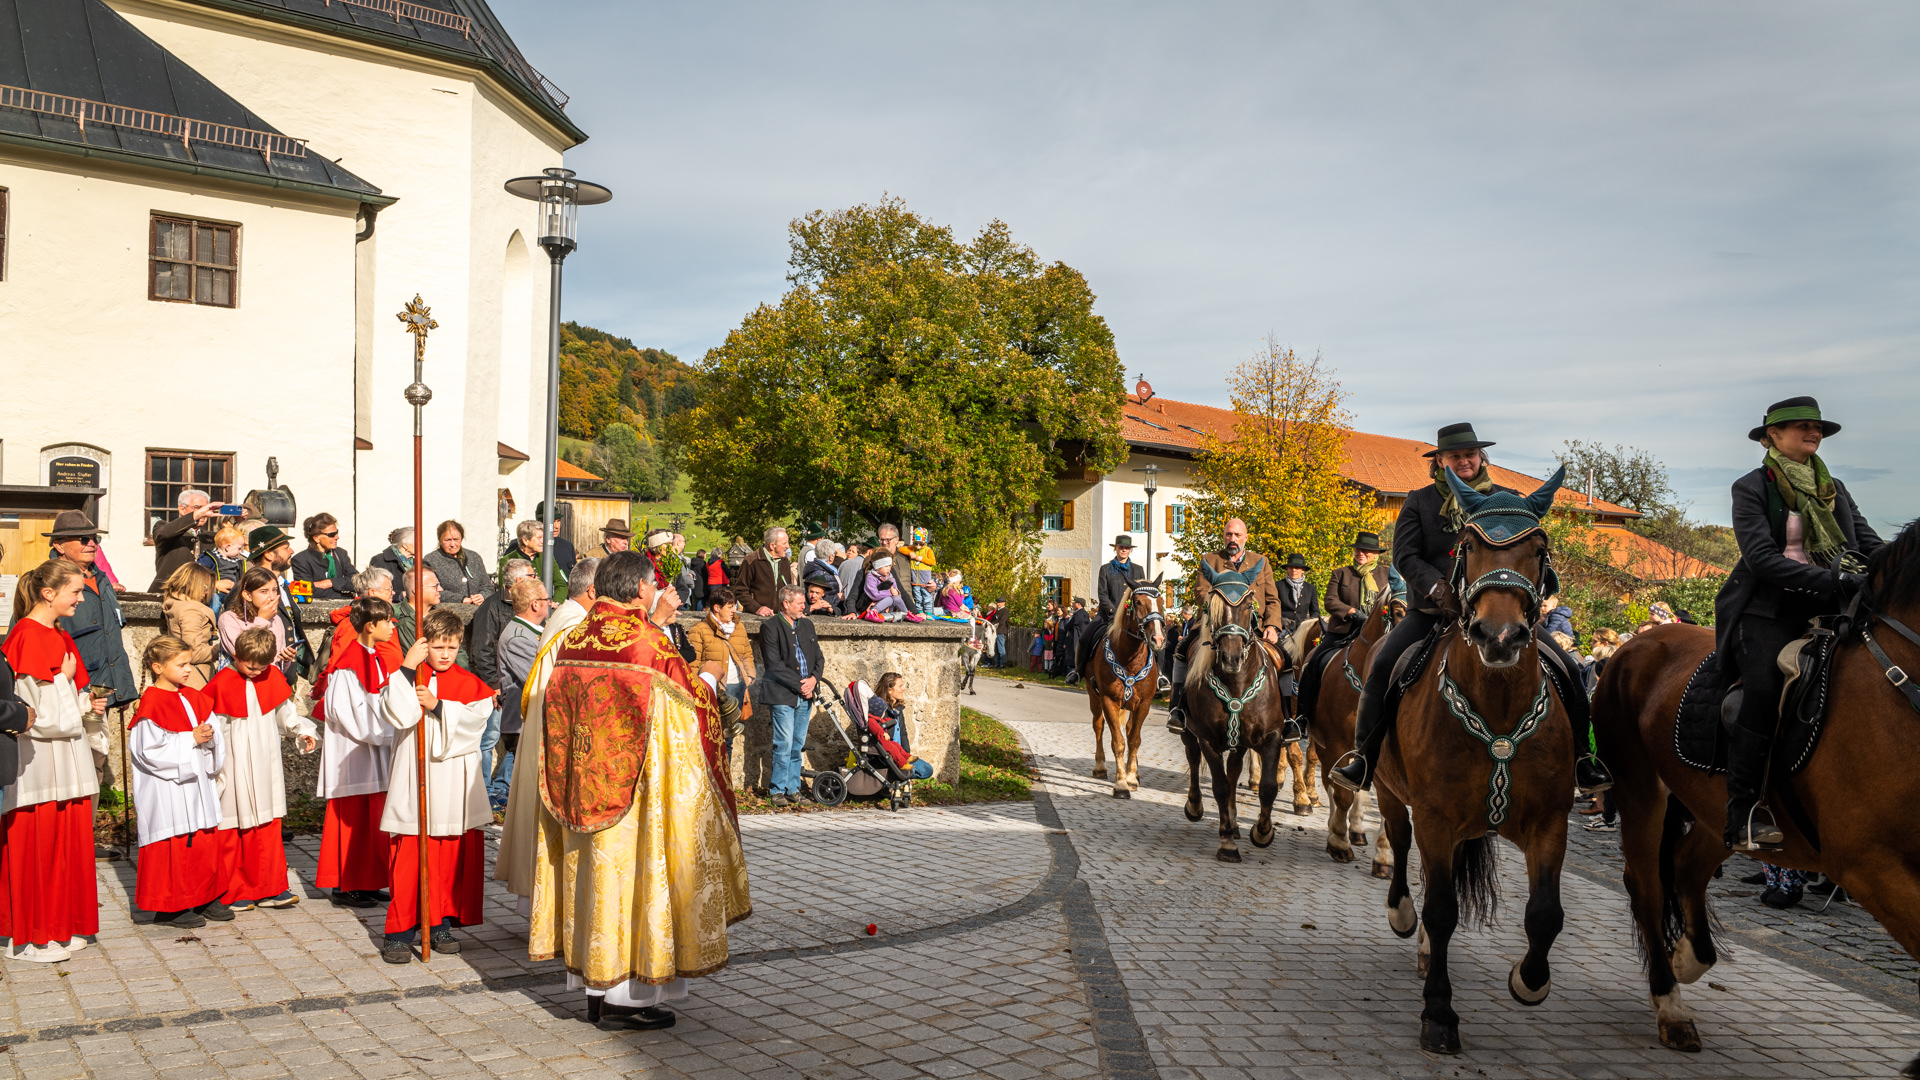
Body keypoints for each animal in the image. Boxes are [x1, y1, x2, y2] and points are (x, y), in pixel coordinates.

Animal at [1087, 580, 1166, 798]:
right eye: (1138, 602)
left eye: (1161, 602)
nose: (1158, 640)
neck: (1130, 659)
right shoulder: (1109, 701)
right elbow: (1118, 742)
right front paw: (1121, 783)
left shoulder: (1144, 704)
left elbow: (1134, 740)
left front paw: (1131, 777)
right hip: (1093, 697)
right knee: (1098, 726)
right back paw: (1100, 767)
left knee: (1130, 730)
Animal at [1180, 584, 1294, 862]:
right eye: (1214, 608)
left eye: (1248, 606)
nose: (1231, 658)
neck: (1237, 682)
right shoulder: (1207, 739)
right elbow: (1220, 787)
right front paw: (1227, 844)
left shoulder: (1272, 737)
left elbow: (1268, 787)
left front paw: (1262, 833)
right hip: (1189, 732)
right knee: (1194, 759)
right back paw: (1195, 806)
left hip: (1240, 742)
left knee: (1233, 771)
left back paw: (1233, 822)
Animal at [1305, 591, 1398, 876]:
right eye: (1397, 610)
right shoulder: (1335, 744)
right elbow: (1342, 794)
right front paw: (1338, 842)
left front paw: (1384, 857)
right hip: (1323, 746)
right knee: (1331, 784)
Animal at [1374, 469, 1574, 1055]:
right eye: (1469, 546)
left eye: (1539, 549)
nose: (1499, 636)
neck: (1499, 710)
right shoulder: (1435, 820)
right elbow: (1442, 911)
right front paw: (1440, 1014)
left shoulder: (1549, 824)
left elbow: (1545, 914)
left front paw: (1529, 982)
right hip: (1390, 793)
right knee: (1400, 846)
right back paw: (1403, 917)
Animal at [1592, 520, 1920, 1070]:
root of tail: (1641, 642)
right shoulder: (1871, 865)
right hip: (1641, 791)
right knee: (1647, 886)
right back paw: (1671, 1004)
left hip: (1714, 812)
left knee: (1685, 870)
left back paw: (1688, 959)